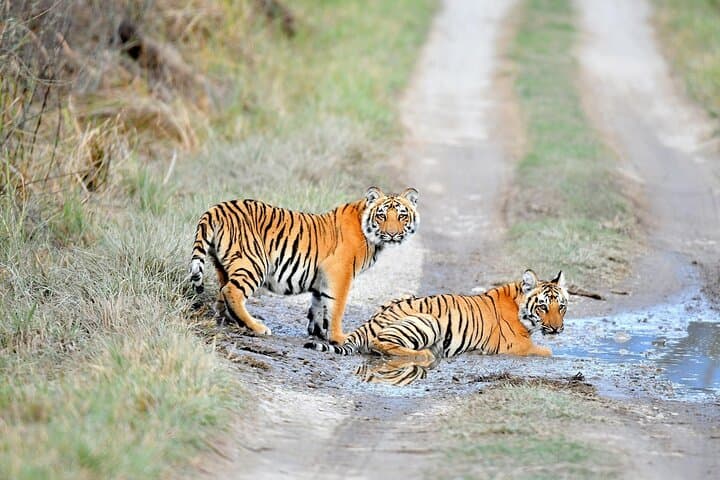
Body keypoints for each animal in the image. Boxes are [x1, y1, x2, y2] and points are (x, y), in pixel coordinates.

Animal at [189, 186, 419, 343]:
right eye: (381, 215)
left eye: (402, 215)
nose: (392, 233)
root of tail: (217, 208)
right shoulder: (339, 273)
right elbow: (337, 307)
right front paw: (338, 337)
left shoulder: (322, 277)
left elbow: (319, 304)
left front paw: (318, 332)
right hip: (254, 263)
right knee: (232, 292)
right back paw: (257, 326)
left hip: (223, 265)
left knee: (223, 292)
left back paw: (228, 319)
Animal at [305, 269, 568, 359]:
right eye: (543, 307)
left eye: (561, 307)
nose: (557, 328)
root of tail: (368, 323)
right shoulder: (516, 345)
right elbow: (547, 351)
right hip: (428, 320)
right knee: (380, 344)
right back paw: (425, 354)